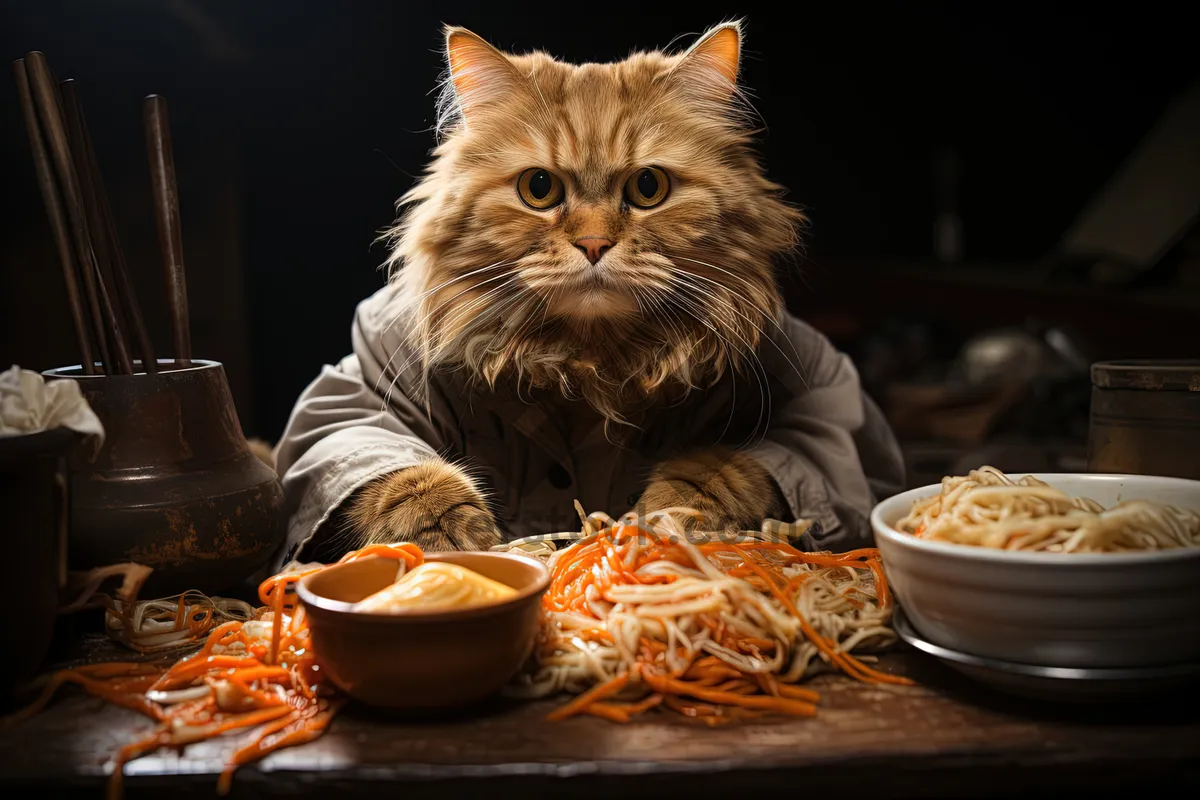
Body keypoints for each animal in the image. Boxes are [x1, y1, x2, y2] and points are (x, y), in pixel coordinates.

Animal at [262, 20, 902, 563]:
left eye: (649, 187)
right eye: (539, 189)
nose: (594, 244)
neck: (588, 362)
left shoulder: (820, 402)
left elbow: (722, 463)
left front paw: (669, 517)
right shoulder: (361, 391)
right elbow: (399, 472)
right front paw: (452, 532)